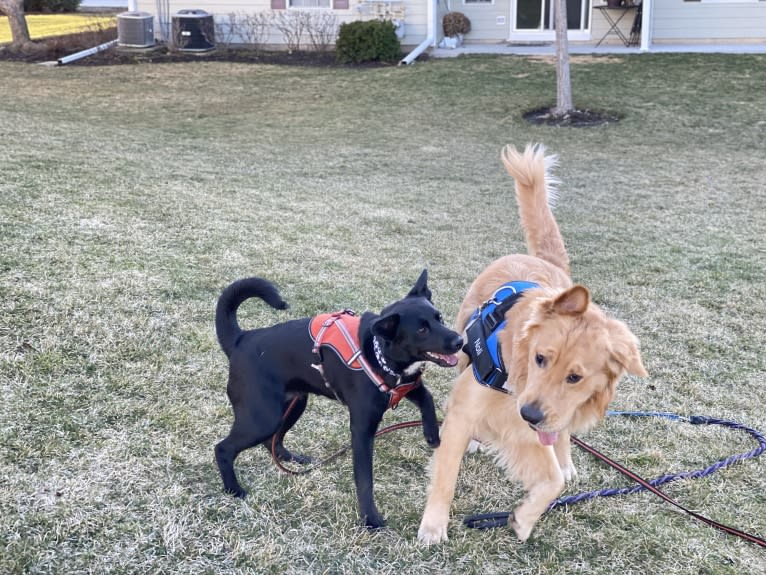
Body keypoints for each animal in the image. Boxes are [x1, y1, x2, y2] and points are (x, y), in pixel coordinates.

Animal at [213, 272, 464, 528]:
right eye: (422, 330)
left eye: (439, 318)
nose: (459, 341)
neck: (378, 354)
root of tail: (242, 338)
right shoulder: (362, 431)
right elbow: (364, 480)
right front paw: (371, 519)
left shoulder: (407, 385)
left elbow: (427, 397)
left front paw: (432, 434)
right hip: (263, 418)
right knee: (223, 448)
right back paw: (234, 489)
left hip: (294, 404)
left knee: (272, 441)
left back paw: (291, 458)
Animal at [420, 143, 648, 544]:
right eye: (540, 358)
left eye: (575, 377)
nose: (530, 414)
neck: (515, 374)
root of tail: (537, 258)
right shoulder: (470, 410)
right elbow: (446, 473)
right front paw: (433, 526)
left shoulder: (534, 420)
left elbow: (552, 478)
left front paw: (524, 518)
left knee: (561, 437)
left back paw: (565, 458)